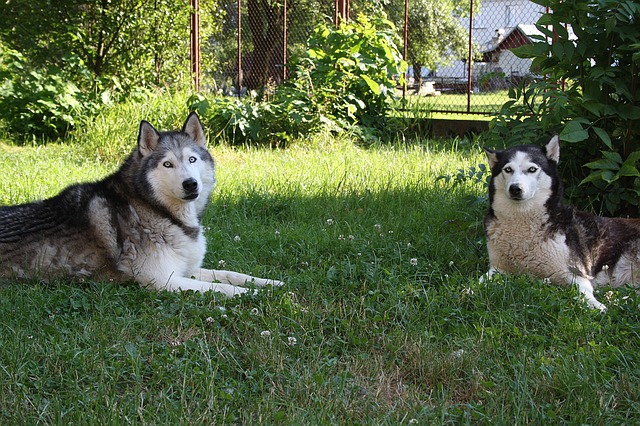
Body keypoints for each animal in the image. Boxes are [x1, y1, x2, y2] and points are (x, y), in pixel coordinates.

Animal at [0, 113, 282, 296]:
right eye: (167, 164)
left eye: (192, 159)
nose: (191, 184)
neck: (158, 210)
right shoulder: (164, 281)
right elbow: (220, 287)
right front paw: (253, 295)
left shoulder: (187, 268)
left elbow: (231, 274)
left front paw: (269, 283)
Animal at [482, 135, 640, 312]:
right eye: (508, 170)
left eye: (532, 169)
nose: (515, 188)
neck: (521, 223)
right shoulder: (497, 268)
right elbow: (478, 282)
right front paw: (468, 292)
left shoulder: (576, 273)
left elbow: (584, 291)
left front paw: (594, 305)